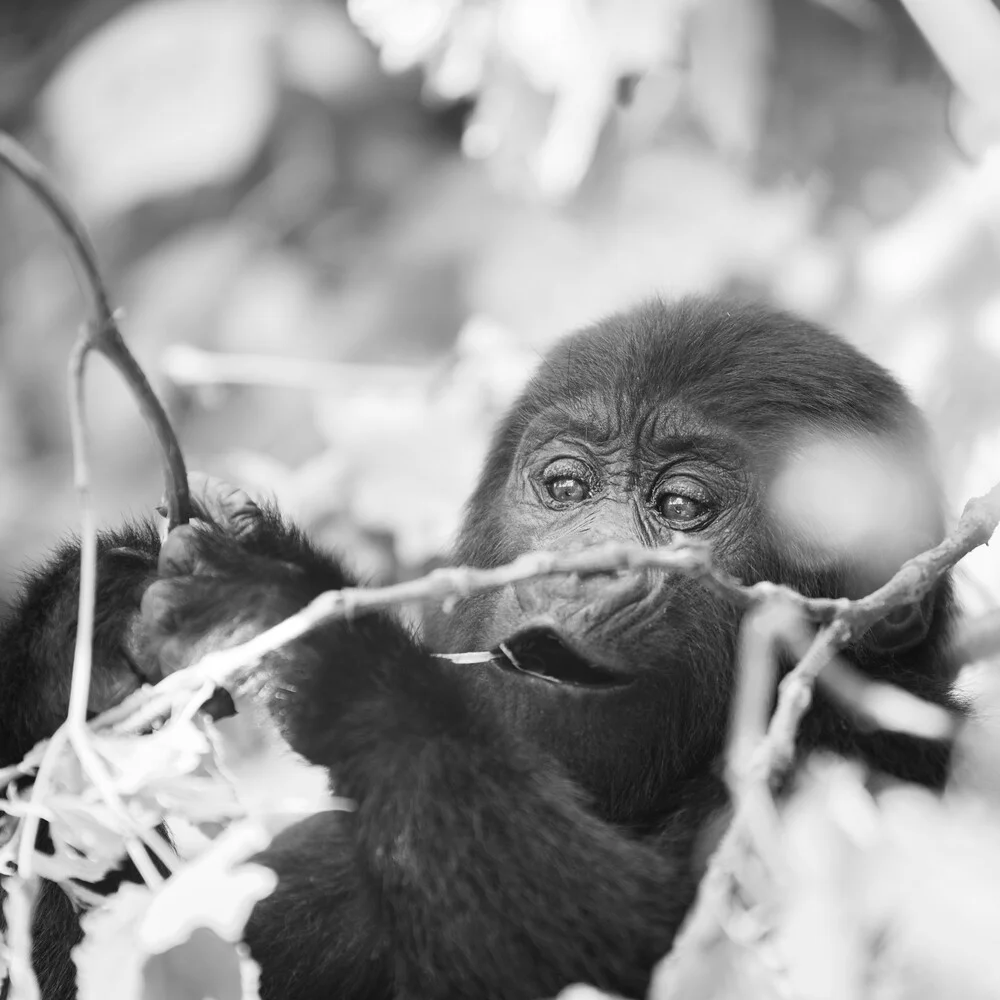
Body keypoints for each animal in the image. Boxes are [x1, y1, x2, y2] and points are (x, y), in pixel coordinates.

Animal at [0, 298, 956, 1000]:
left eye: (683, 508)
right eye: (564, 488)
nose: (583, 566)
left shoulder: (869, 756)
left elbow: (651, 953)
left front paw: (294, 619)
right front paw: (88, 623)